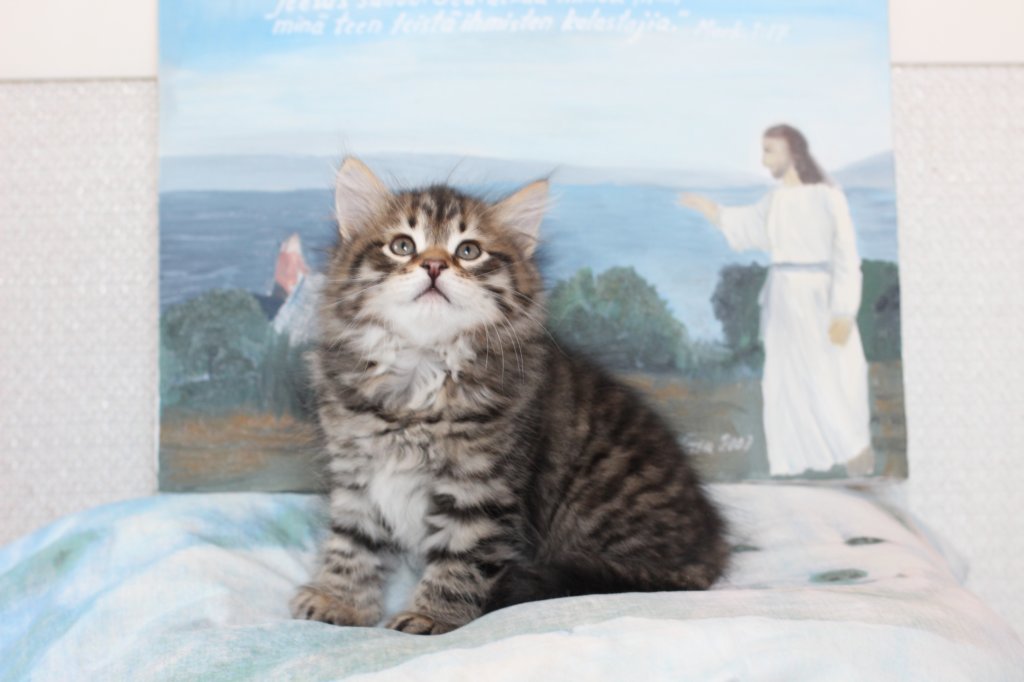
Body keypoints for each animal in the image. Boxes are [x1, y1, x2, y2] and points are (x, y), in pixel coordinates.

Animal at [290, 157, 730, 635]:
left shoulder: (480, 489)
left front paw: (431, 616)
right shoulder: (357, 476)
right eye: (403, 246)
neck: (420, 371)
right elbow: (352, 545)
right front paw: (339, 600)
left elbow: (460, 561)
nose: (434, 265)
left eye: (468, 251)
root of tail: (710, 548)